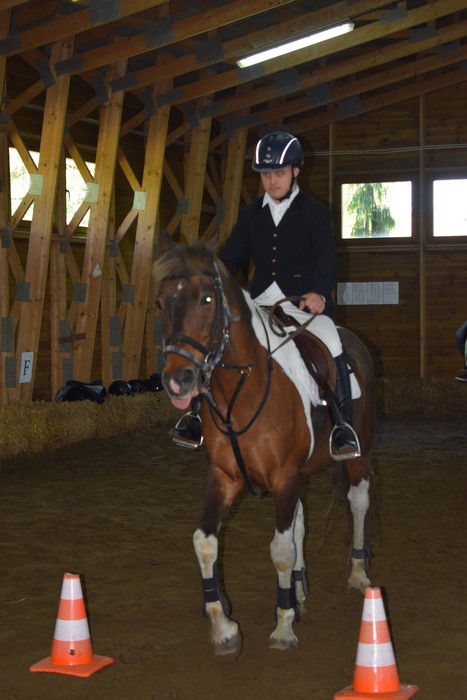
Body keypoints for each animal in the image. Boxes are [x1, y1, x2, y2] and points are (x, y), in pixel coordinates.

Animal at [153, 238, 376, 656]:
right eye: (160, 303)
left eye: (207, 299)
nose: (178, 380)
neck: (242, 389)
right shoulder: (225, 477)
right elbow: (205, 542)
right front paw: (223, 628)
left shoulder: (284, 476)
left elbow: (281, 550)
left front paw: (284, 626)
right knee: (301, 521)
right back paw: (300, 590)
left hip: (360, 453)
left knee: (357, 502)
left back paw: (357, 573)